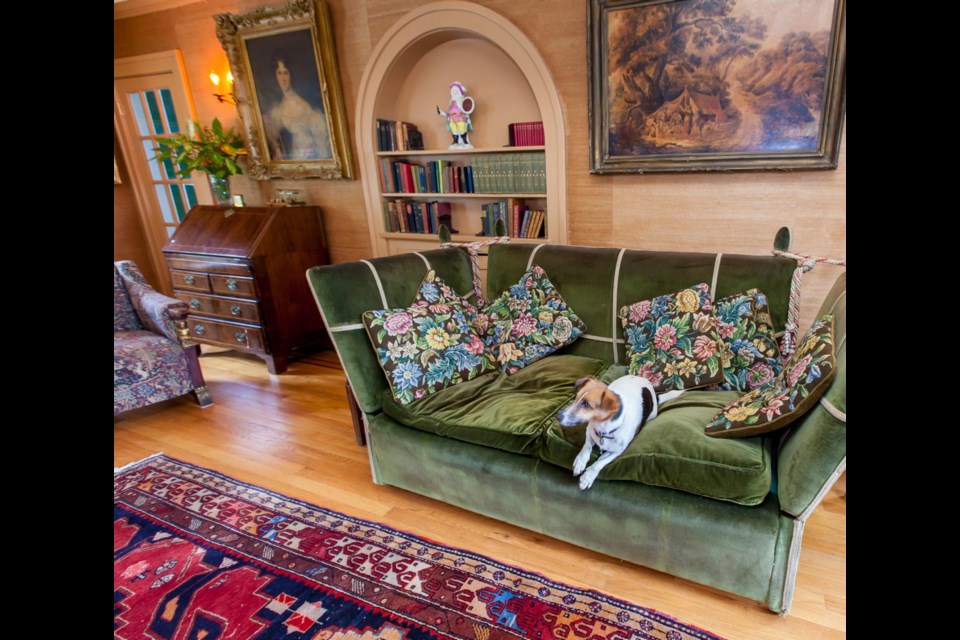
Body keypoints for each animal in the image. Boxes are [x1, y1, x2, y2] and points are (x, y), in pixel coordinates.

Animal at [556, 376, 684, 490]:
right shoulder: (590, 430)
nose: (557, 416)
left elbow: (600, 462)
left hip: (652, 414)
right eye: (575, 398)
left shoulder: (618, 452)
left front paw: (588, 475)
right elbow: (587, 446)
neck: (604, 429)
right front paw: (580, 462)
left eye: (586, 404)